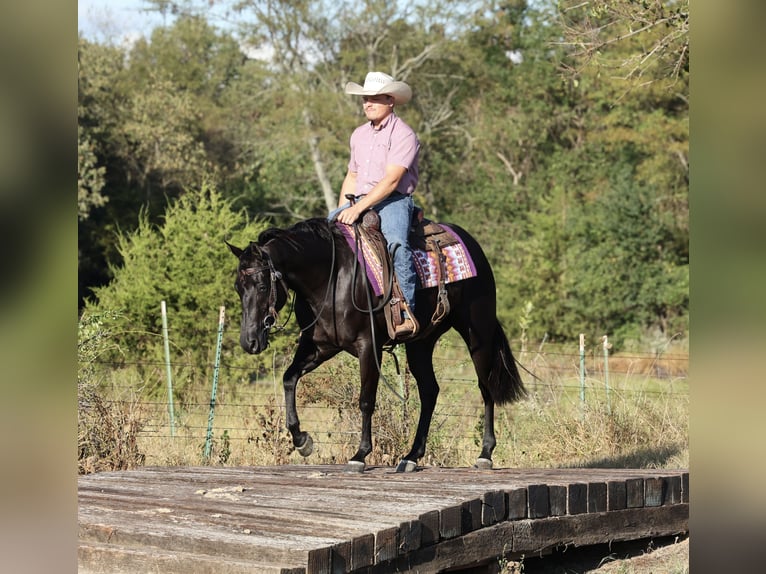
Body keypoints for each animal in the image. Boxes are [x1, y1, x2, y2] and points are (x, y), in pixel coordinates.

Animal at [227, 217, 525, 472]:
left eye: (262, 286)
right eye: (238, 288)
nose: (249, 341)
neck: (331, 278)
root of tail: (470, 242)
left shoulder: (367, 346)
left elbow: (366, 400)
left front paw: (360, 455)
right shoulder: (320, 347)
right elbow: (289, 378)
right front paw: (302, 441)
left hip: (477, 333)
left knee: (485, 387)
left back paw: (485, 454)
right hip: (421, 343)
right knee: (430, 391)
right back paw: (411, 456)